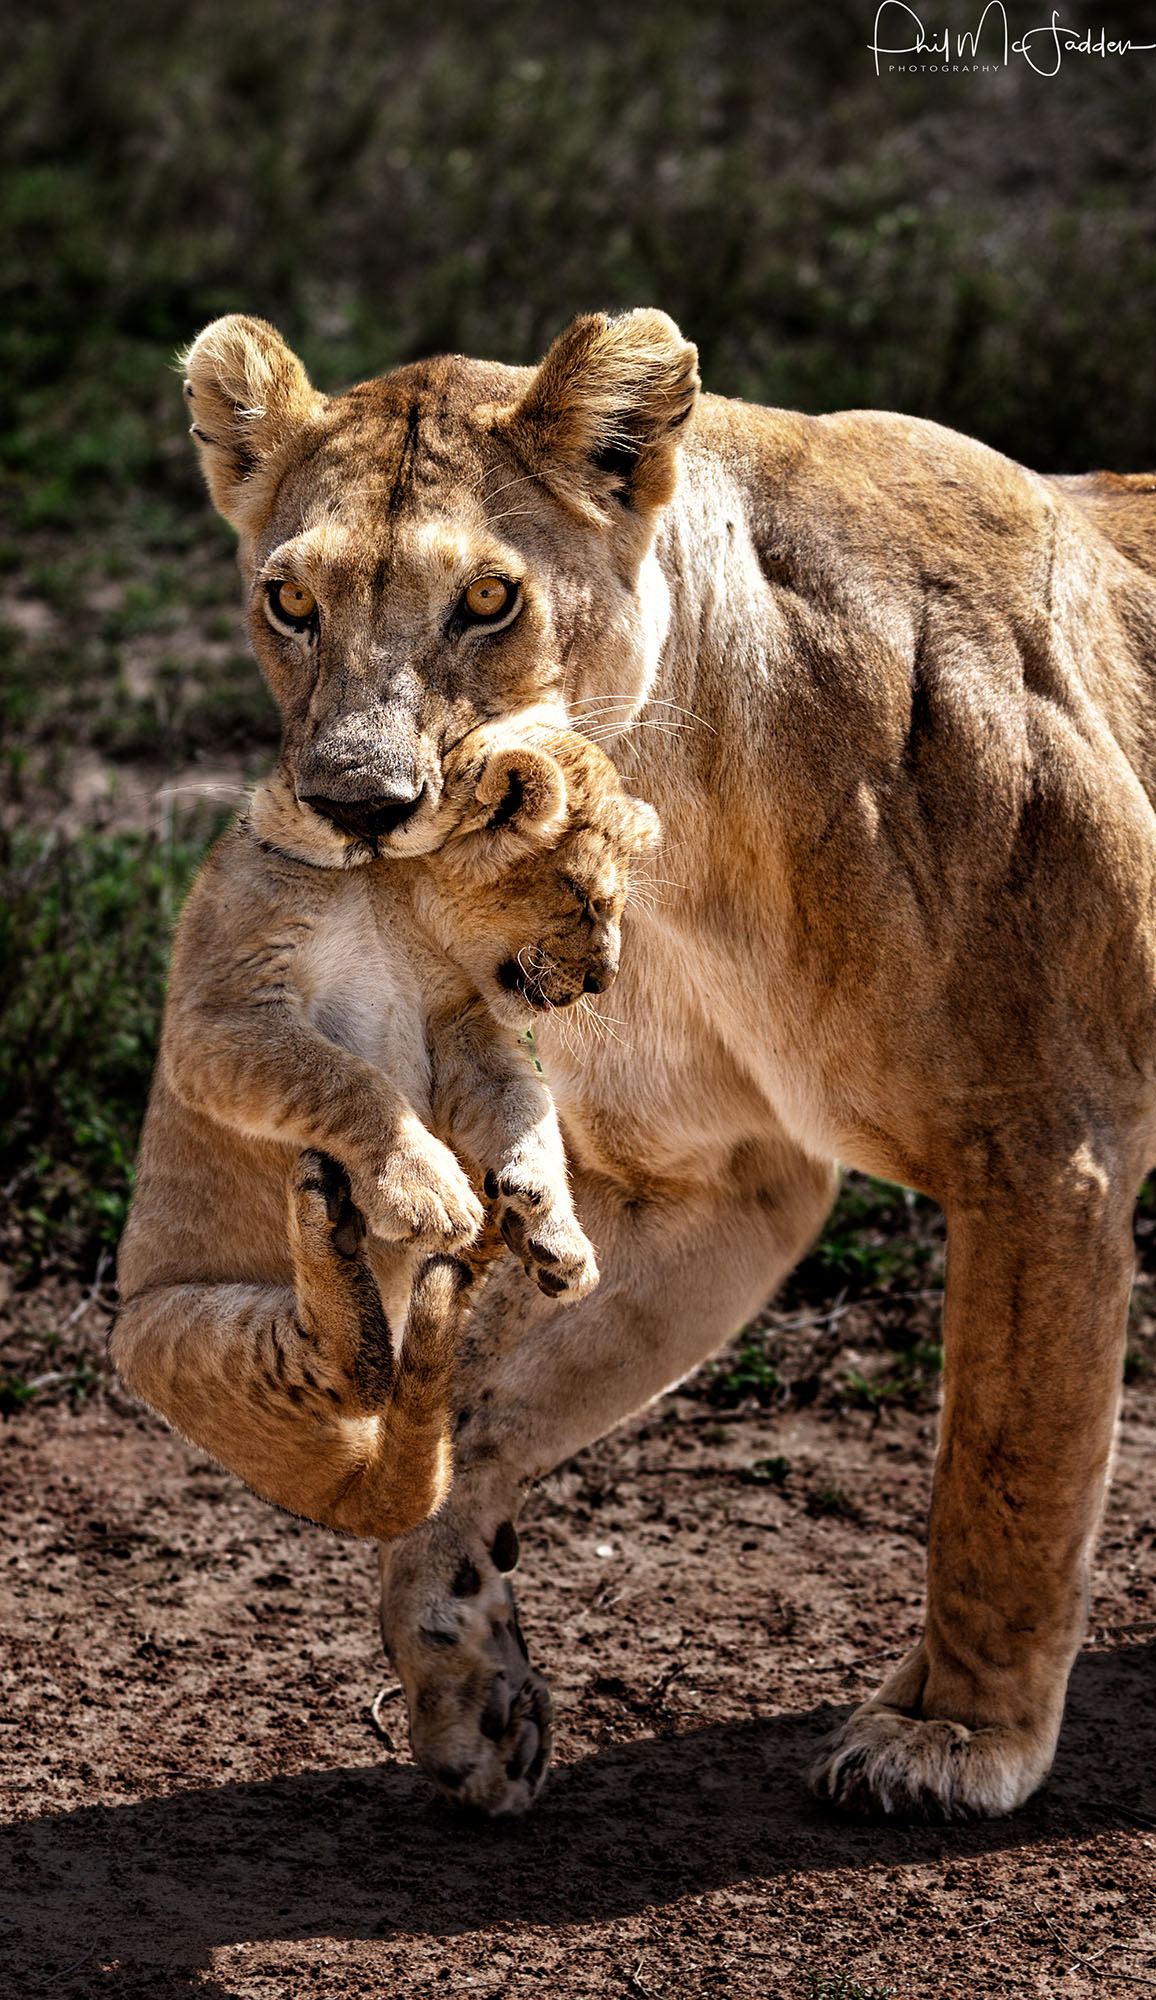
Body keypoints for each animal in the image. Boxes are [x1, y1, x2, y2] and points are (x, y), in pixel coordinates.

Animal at [112, 723, 659, 1538]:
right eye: (587, 899)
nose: (603, 981)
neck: (391, 895)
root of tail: (342, 1498)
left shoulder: (464, 1029)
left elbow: (524, 1110)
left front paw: (550, 1228)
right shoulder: (221, 1013)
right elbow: (346, 1080)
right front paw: (426, 1192)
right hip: (162, 1334)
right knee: (344, 1371)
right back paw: (336, 1225)